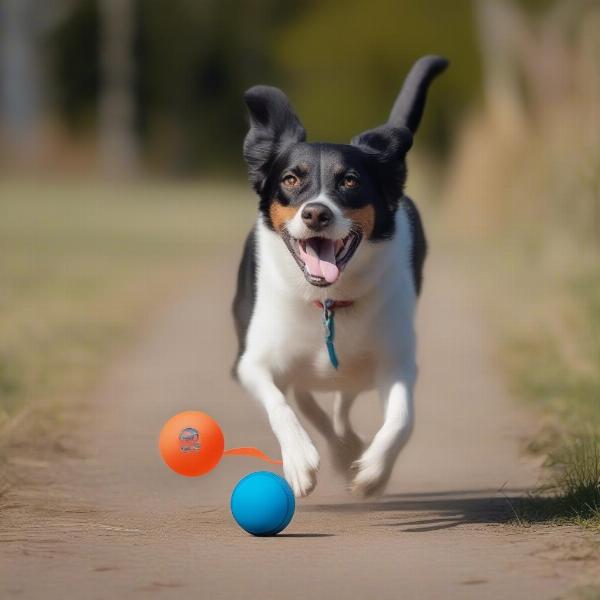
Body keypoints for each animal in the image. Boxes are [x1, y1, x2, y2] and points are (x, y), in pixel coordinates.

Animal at [232, 55, 448, 496]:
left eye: (350, 180)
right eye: (291, 179)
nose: (316, 213)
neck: (327, 300)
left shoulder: (396, 362)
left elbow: (401, 420)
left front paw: (373, 471)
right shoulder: (251, 362)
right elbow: (280, 405)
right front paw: (299, 459)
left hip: (356, 370)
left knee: (339, 403)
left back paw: (347, 449)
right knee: (305, 397)